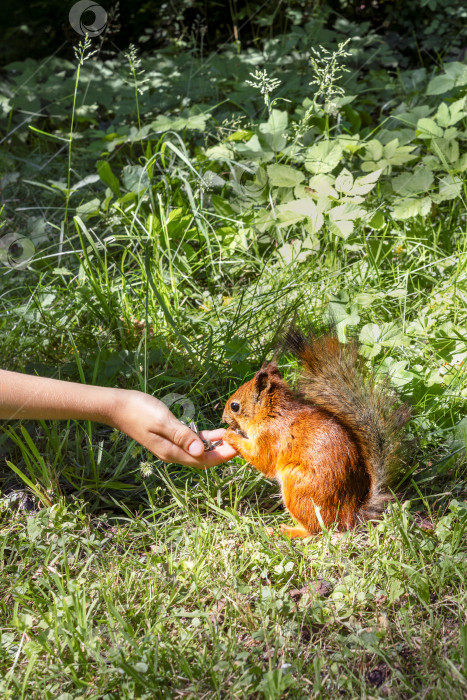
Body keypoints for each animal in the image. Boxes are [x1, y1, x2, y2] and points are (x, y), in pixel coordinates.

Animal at [222, 326, 410, 536]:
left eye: (235, 406)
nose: (223, 419)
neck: (272, 413)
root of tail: (348, 516)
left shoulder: (269, 436)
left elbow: (262, 459)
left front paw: (229, 434)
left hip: (296, 484)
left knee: (315, 530)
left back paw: (286, 531)